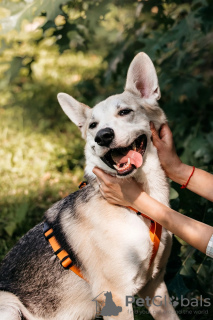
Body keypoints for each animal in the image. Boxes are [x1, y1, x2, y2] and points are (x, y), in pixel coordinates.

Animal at [0, 53, 180, 320]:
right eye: (93, 125)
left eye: (125, 112)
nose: (103, 136)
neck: (137, 208)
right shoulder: (115, 296)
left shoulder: (155, 286)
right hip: (10, 302)